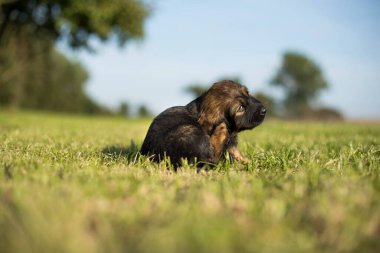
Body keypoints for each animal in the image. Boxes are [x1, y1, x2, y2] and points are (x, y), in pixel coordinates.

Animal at [140, 80, 268, 167]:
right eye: (240, 108)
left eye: (248, 94)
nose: (264, 110)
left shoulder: (232, 144)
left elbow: (236, 152)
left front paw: (248, 161)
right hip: (187, 131)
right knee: (214, 158)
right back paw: (220, 131)